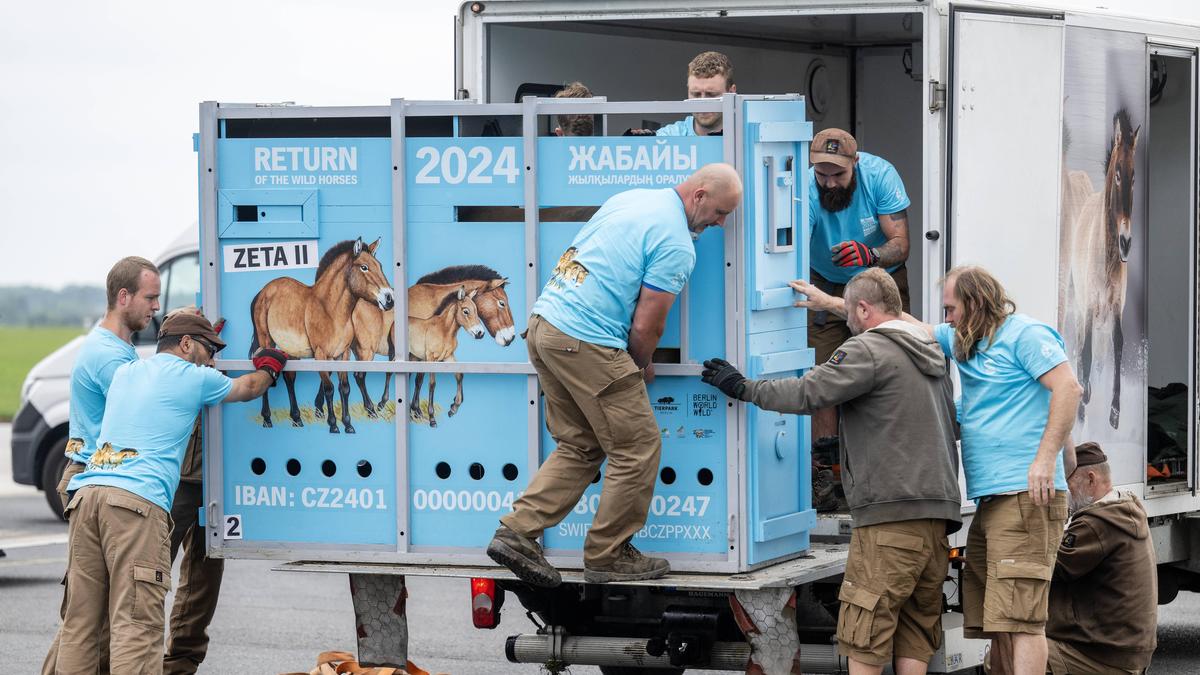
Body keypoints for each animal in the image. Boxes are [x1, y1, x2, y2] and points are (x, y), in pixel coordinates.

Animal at [250, 236, 396, 429]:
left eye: (379, 265)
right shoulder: (321, 355)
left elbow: (344, 387)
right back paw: (267, 419)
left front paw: (348, 425)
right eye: (364, 267)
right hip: (266, 340)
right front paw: (333, 424)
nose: (390, 299)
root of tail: (264, 291)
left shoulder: (343, 354)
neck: (330, 309)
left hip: (291, 349)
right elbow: (329, 388)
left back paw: (296, 418)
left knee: (290, 377)